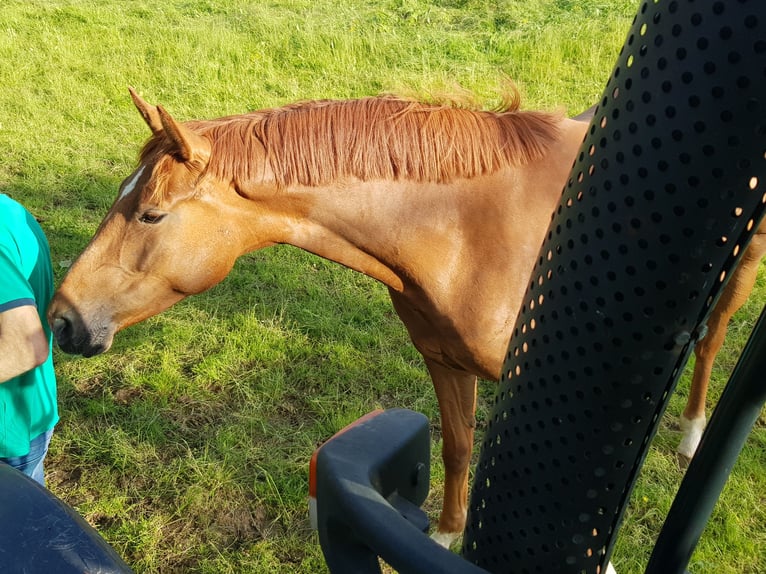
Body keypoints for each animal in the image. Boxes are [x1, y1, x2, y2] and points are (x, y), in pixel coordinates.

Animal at [49, 88, 766, 548]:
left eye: (150, 214)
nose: (61, 320)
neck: (476, 230)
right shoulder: (444, 361)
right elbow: (457, 447)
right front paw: (446, 535)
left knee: (712, 341)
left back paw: (693, 435)